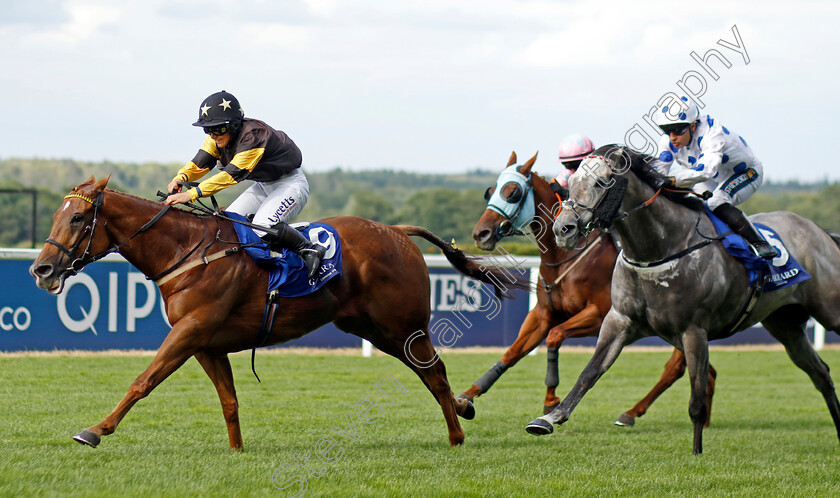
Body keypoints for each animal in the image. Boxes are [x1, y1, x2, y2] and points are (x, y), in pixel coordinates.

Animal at [34, 177, 532, 450]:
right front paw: (236, 451)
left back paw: (457, 432)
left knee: (436, 373)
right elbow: (230, 401)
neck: (187, 251)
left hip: (402, 325)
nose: (42, 269)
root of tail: (397, 230)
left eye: (77, 219)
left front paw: (95, 430)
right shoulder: (205, 343)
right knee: (428, 372)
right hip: (371, 327)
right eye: (58, 215)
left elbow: (142, 381)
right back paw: (463, 408)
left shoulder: (190, 332)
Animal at [460, 152, 716, 424]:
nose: (481, 233)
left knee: (676, 368)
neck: (564, 257)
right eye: (490, 191)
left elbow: (554, 336)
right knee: (705, 371)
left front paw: (551, 401)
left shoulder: (598, 315)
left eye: (512, 192)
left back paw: (633, 413)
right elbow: (512, 352)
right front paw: (467, 395)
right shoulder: (543, 314)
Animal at [524, 145, 840, 456]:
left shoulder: (693, 330)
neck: (660, 249)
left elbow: (696, 399)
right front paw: (549, 417)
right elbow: (590, 371)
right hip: (785, 326)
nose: (563, 229)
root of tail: (820, 231)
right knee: (821, 373)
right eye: (571, 183)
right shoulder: (620, 320)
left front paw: (697, 453)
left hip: (828, 310)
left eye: (602, 182)